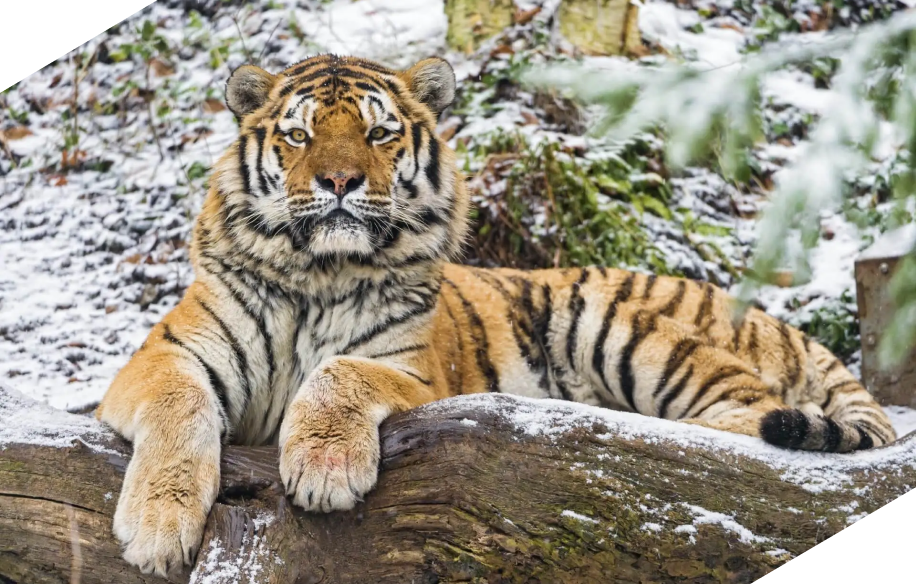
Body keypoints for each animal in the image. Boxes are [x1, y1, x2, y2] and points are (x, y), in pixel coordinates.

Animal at [95, 54, 897, 577]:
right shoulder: (166, 356)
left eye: (379, 134)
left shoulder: (412, 369)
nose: (340, 180)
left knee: (742, 426)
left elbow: (338, 371)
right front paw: (158, 526)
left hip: (622, 327)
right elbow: (178, 407)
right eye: (298, 135)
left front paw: (323, 466)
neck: (322, 272)